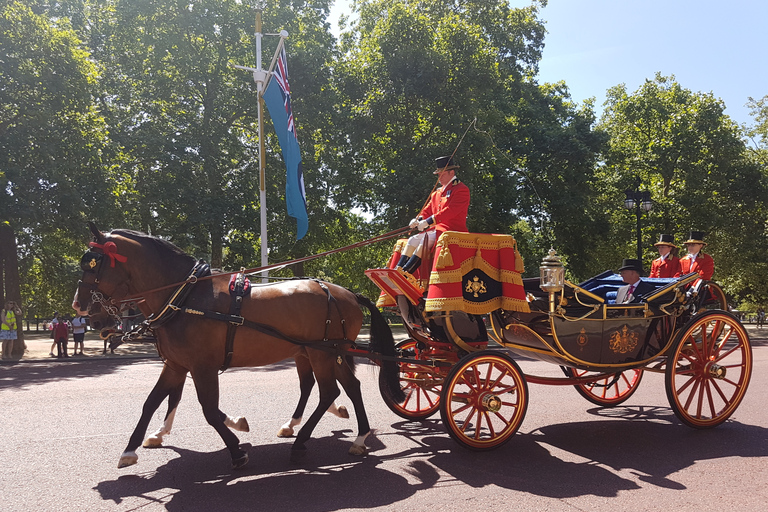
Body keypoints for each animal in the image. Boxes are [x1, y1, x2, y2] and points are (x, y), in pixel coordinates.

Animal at [75, 223, 404, 468]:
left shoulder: (202, 366)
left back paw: (302, 441)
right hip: (325, 353)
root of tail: (346, 292)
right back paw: (358, 437)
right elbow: (153, 402)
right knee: (348, 386)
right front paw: (132, 448)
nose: (81, 309)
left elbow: (209, 411)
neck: (185, 298)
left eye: (94, 264)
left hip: (322, 353)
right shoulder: (176, 364)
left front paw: (236, 447)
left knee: (328, 392)